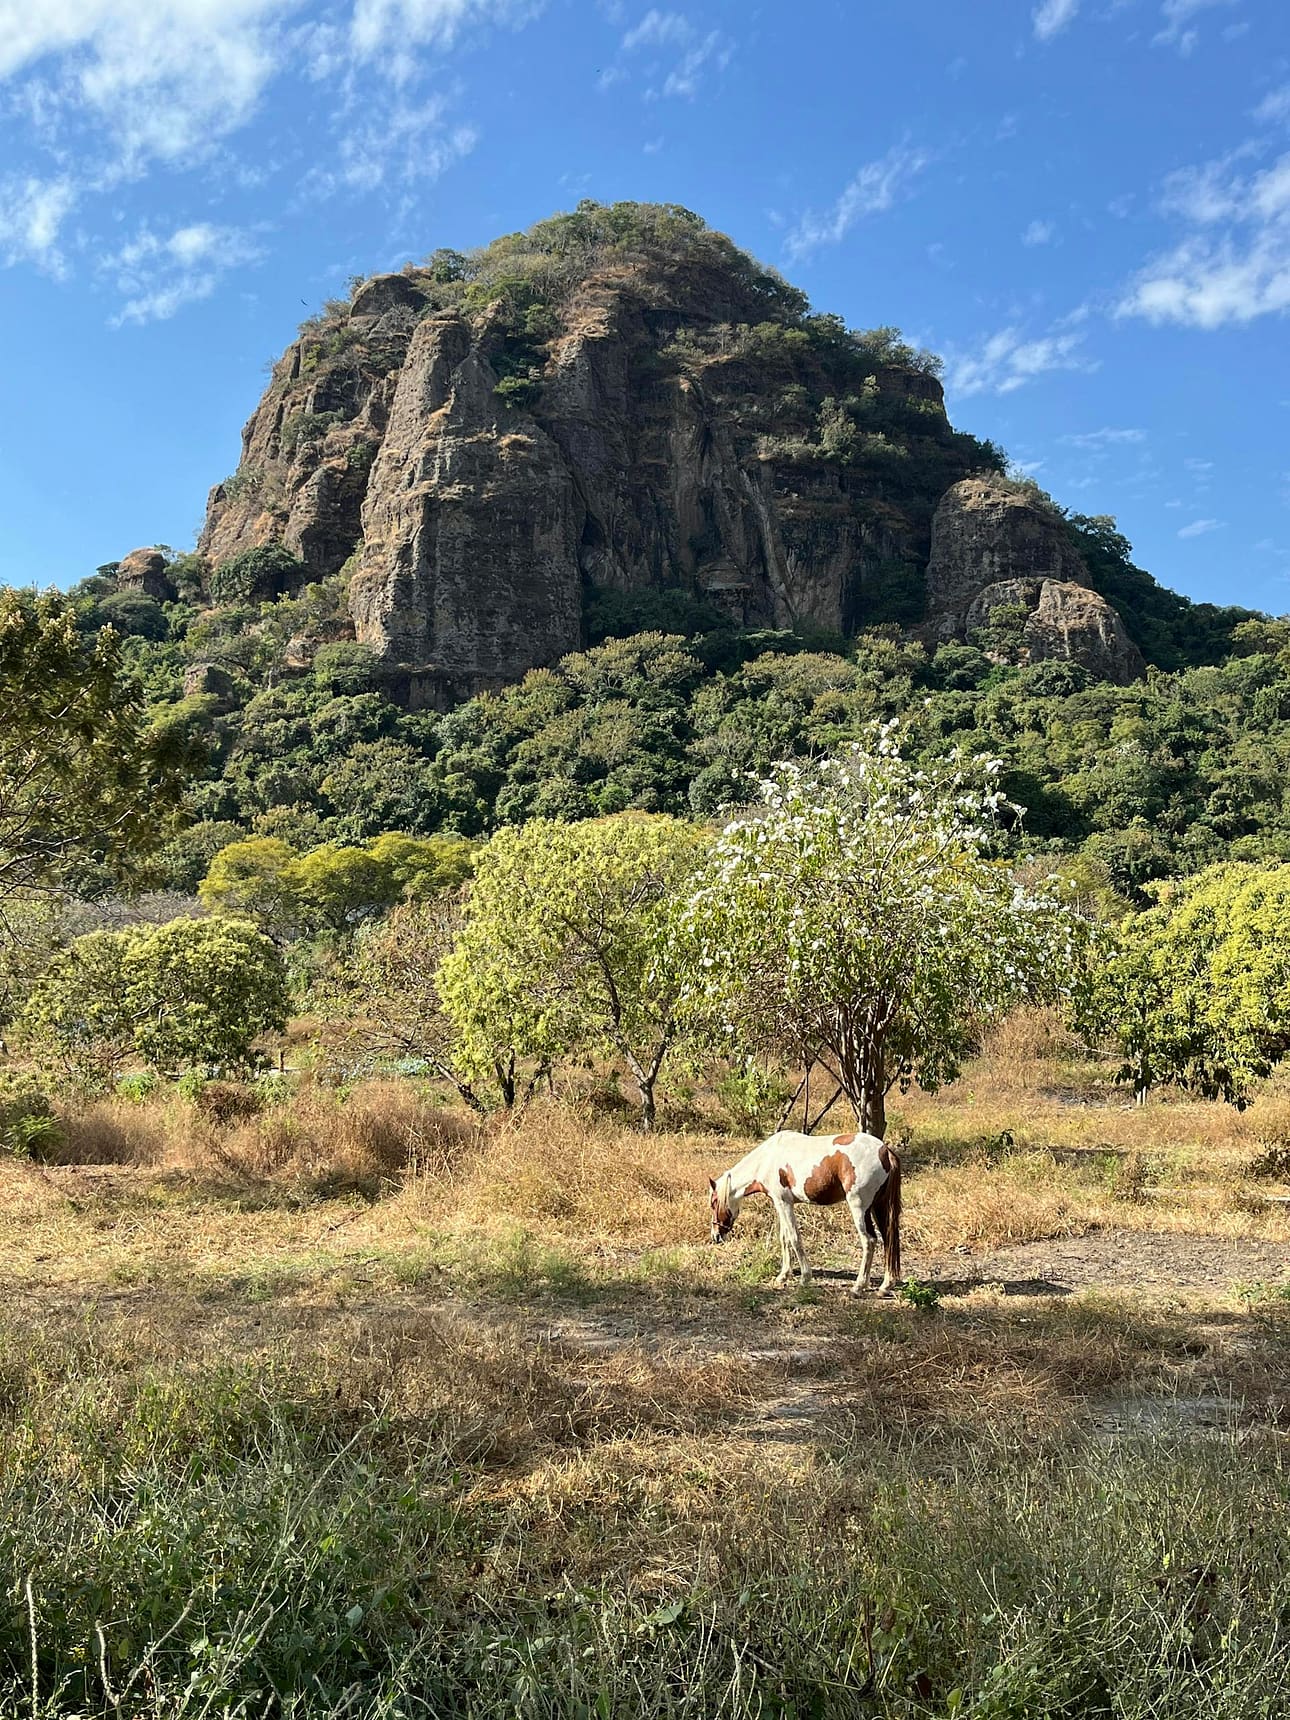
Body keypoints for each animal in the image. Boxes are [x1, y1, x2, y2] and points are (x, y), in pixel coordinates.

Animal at [709, 1129, 902, 1295]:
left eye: (713, 1203)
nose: (716, 1235)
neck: (767, 1159)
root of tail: (885, 1151)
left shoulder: (784, 1203)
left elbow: (795, 1238)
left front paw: (805, 1278)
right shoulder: (781, 1204)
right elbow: (785, 1238)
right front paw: (783, 1276)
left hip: (860, 1208)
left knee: (869, 1241)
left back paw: (858, 1287)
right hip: (878, 1207)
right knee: (887, 1240)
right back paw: (885, 1286)